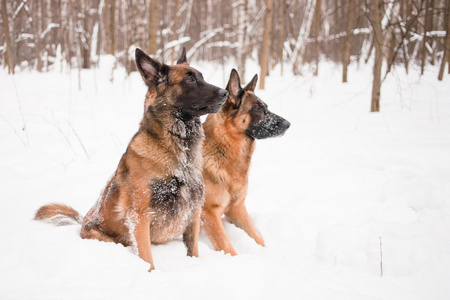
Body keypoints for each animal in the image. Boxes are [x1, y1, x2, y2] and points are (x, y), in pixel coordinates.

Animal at [34, 48, 229, 270]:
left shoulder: (193, 213)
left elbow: (193, 251)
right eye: (189, 79)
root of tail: (82, 220)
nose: (225, 93)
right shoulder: (140, 216)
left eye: (201, 77)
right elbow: (147, 258)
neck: (180, 156)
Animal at [201, 69, 292, 255]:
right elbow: (228, 249)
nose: (288, 124)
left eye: (266, 107)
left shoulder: (237, 209)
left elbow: (258, 237)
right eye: (257, 108)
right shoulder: (209, 214)